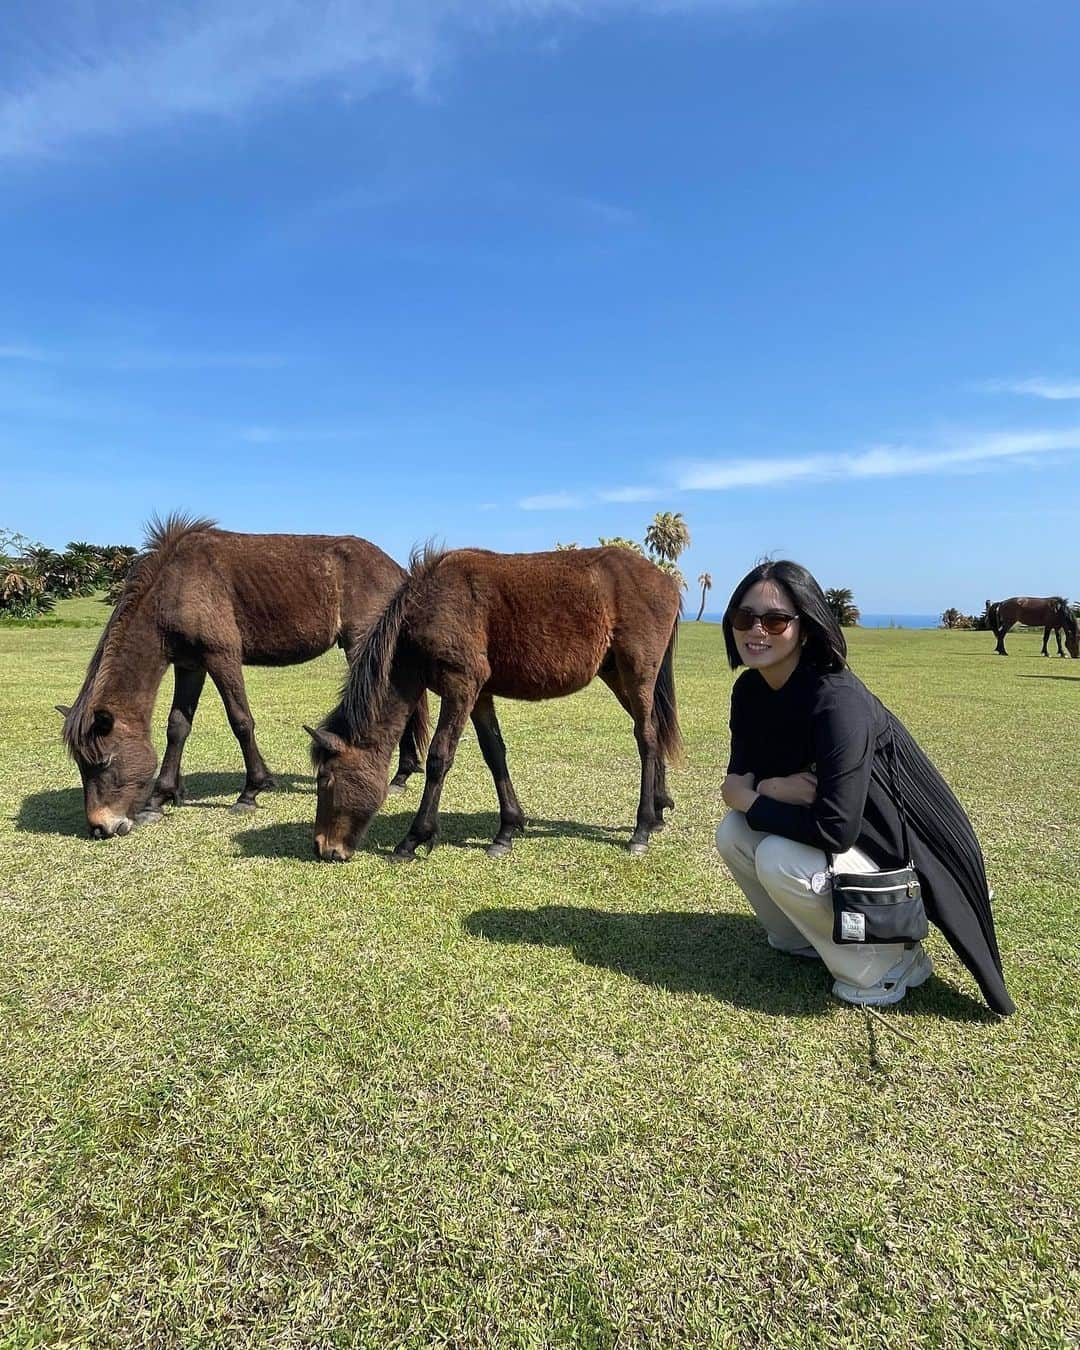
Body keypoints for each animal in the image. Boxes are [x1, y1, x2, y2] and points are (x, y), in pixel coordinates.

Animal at [59, 513, 429, 837]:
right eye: (81, 765)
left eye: (104, 761)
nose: (100, 827)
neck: (177, 583)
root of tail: (398, 571)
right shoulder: (190, 665)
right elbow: (177, 727)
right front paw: (158, 799)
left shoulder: (221, 656)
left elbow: (240, 721)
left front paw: (251, 792)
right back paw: (402, 774)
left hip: (363, 646)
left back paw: (400, 776)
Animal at [303, 548, 680, 864]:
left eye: (326, 779)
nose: (324, 848)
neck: (429, 606)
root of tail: (666, 580)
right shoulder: (479, 693)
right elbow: (494, 752)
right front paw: (507, 830)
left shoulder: (461, 686)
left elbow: (439, 757)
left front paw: (413, 839)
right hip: (616, 675)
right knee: (655, 731)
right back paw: (659, 810)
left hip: (637, 673)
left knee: (646, 737)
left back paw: (642, 828)